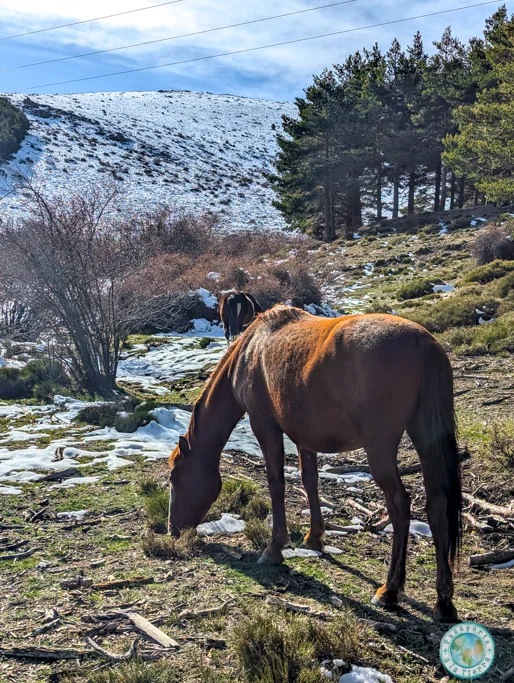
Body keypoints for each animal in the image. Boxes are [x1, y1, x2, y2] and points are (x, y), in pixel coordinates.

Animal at [169, 306, 462, 622]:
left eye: (174, 477)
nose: (173, 528)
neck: (252, 349)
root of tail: (424, 344)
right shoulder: (304, 437)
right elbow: (310, 481)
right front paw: (314, 538)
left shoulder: (265, 426)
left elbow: (276, 484)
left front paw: (274, 548)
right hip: (426, 438)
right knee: (437, 506)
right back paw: (443, 602)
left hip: (380, 448)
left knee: (399, 505)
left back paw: (390, 590)